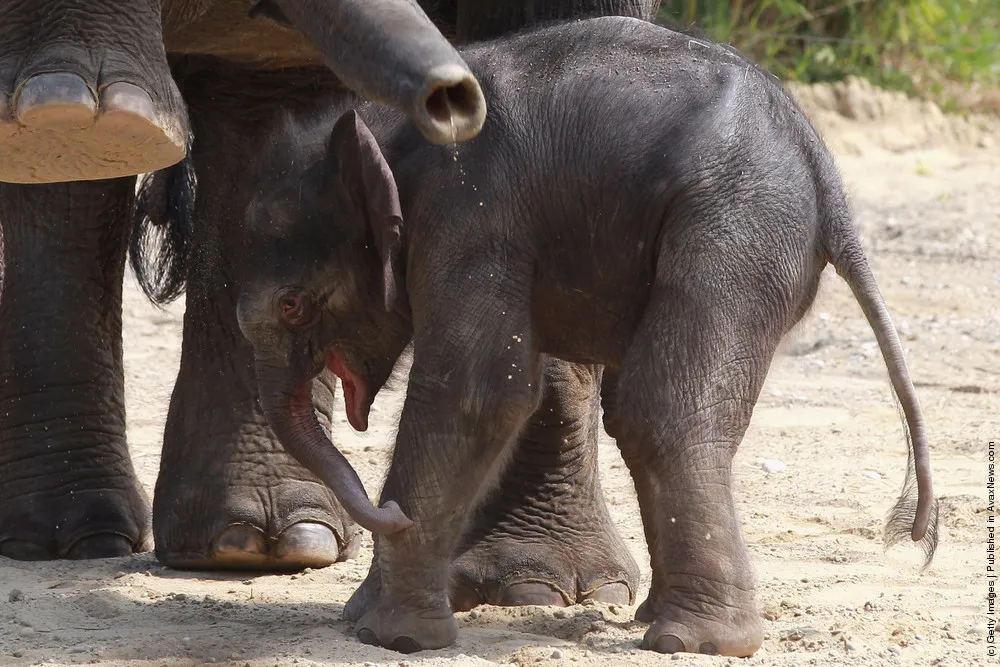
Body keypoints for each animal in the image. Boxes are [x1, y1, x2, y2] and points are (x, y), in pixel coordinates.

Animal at [236, 15, 936, 656]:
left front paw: (391, 636)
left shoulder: (473, 219)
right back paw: (660, 619)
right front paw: (363, 617)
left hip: (737, 230)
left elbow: (477, 394)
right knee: (642, 411)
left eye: (293, 306)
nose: (389, 513)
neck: (381, 131)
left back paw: (695, 640)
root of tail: (826, 177)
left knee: (661, 409)